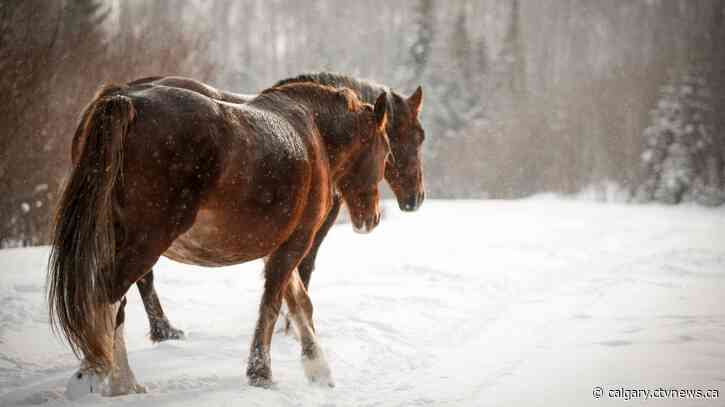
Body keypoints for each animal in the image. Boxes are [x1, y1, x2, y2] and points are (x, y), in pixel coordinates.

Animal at [47, 80, 392, 396]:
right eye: (386, 151)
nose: (373, 218)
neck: (312, 131)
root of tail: (125, 100)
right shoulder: (295, 243)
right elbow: (271, 304)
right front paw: (261, 374)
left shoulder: (278, 247)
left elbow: (300, 303)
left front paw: (319, 370)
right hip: (146, 241)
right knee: (108, 295)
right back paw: (105, 377)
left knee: (115, 301)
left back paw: (121, 380)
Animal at [123, 73, 426, 342]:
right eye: (417, 136)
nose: (417, 198)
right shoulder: (309, 233)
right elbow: (303, 270)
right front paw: (292, 327)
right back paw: (163, 330)